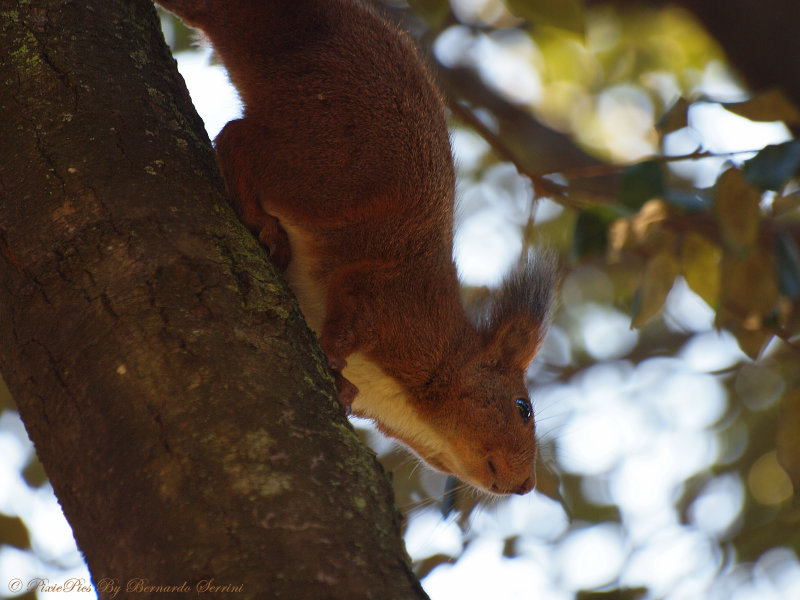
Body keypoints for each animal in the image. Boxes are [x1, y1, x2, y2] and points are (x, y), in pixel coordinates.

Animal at [155, 0, 557, 495]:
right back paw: (262, 223)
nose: (526, 485)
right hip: (328, 166)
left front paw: (343, 386)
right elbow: (350, 312)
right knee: (237, 139)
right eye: (523, 409)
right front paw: (332, 356)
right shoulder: (391, 300)